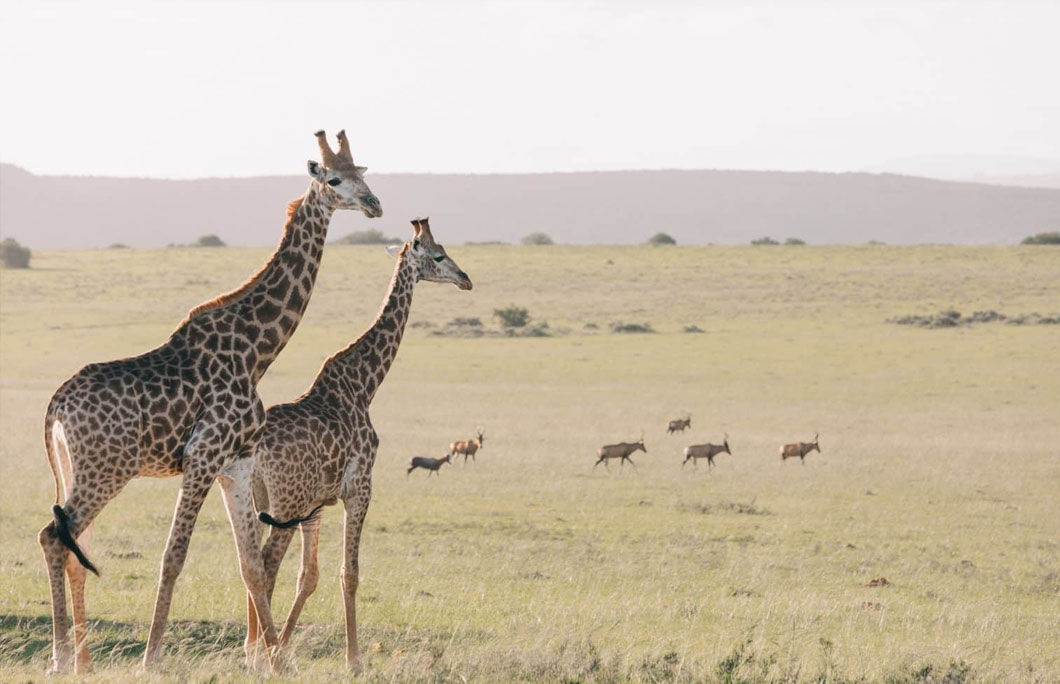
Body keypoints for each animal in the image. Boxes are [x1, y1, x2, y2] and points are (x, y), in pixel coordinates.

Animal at [37, 129, 381, 670]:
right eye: (333, 179)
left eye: (363, 174)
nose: (373, 204)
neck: (256, 351)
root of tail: (54, 408)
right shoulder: (202, 455)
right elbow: (173, 556)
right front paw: (152, 661)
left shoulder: (235, 462)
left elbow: (252, 564)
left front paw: (276, 662)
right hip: (105, 470)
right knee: (54, 537)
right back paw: (60, 659)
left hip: (76, 470)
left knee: (70, 545)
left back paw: (81, 663)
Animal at [245, 218, 470, 670]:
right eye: (438, 255)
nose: (465, 279)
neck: (365, 384)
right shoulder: (359, 488)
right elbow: (349, 574)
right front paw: (355, 660)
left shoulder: (317, 504)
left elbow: (309, 576)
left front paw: (287, 645)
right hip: (286, 501)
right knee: (267, 565)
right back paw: (267, 658)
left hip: (265, 497)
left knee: (253, 564)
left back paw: (257, 652)